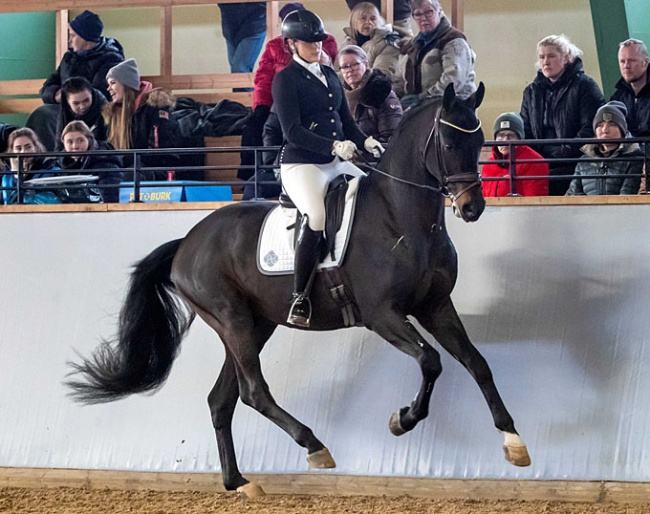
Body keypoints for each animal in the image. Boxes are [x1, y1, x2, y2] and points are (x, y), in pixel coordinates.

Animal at [68, 83, 528, 496]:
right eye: (449, 141)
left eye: (480, 141)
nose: (472, 207)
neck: (400, 217)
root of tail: (186, 242)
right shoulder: (382, 315)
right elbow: (431, 361)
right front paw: (403, 419)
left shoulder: (435, 306)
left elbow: (477, 363)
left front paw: (513, 441)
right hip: (232, 320)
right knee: (254, 392)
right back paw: (314, 445)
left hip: (254, 326)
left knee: (222, 399)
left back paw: (239, 482)